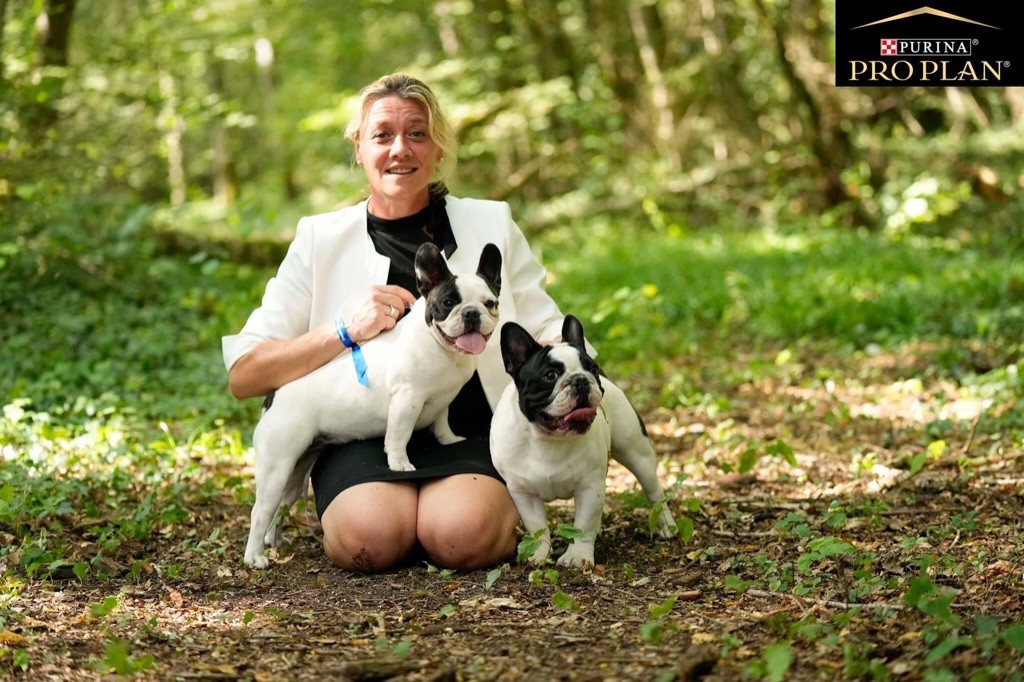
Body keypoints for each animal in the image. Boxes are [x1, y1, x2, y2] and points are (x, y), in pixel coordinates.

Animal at [247, 241, 503, 565]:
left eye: (490, 303)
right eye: (448, 303)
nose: (471, 313)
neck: (442, 348)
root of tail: (273, 397)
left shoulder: (442, 400)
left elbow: (442, 420)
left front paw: (448, 439)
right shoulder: (407, 400)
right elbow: (398, 436)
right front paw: (400, 464)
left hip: (296, 469)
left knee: (281, 504)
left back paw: (275, 540)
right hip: (276, 466)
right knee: (259, 512)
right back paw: (254, 556)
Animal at [489, 315, 675, 565]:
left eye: (591, 369)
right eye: (550, 375)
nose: (581, 380)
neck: (548, 439)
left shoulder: (590, 487)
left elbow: (584, 525)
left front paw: (577, 556)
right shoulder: (523, 493)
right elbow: (537, 527)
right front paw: (538, 553)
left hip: (637, 453)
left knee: (654, 493)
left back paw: (666, 525)